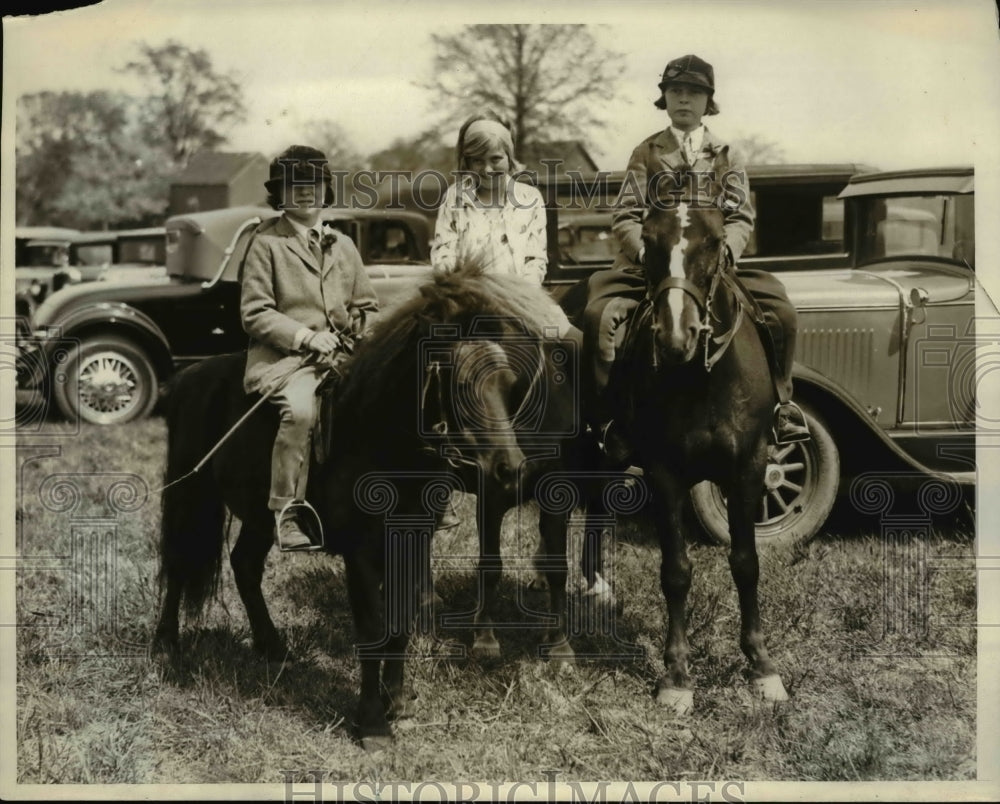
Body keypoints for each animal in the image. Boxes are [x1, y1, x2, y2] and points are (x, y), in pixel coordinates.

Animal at [152, 268, 548, 748]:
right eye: (458, 383)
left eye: (509, 384)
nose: (510, 470)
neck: (379, 439)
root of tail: (188, 375)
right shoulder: (361, 553)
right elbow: (373, 628)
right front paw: (372, 722)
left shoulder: (411, 542)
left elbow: (400, 622)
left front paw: (398, 701)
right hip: (190, 495)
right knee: (179, 561)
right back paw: (166, 644)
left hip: (261, 515)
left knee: (244, 564)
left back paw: (272, 646)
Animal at [580, 204, 788, 712]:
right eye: (650, 242)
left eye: (713, 243)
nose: (676, 337)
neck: (701, 379)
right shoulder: (664, 473)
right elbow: (675, 572)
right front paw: (676, 676)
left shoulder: (749, 468)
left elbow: (746, 563)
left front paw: (762, 667)